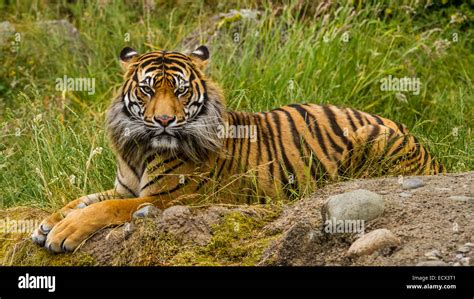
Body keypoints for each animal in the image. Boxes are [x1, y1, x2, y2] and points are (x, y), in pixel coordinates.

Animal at [31, 45, 446, 254]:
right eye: (147, 89)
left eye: (181, 90)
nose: (164, 121)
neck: (139, 147)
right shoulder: (125, 186)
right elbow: (82, 199)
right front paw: (47, 223)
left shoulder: (174, 197)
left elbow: (107, 208)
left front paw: (63, 234)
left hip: (369, 137)